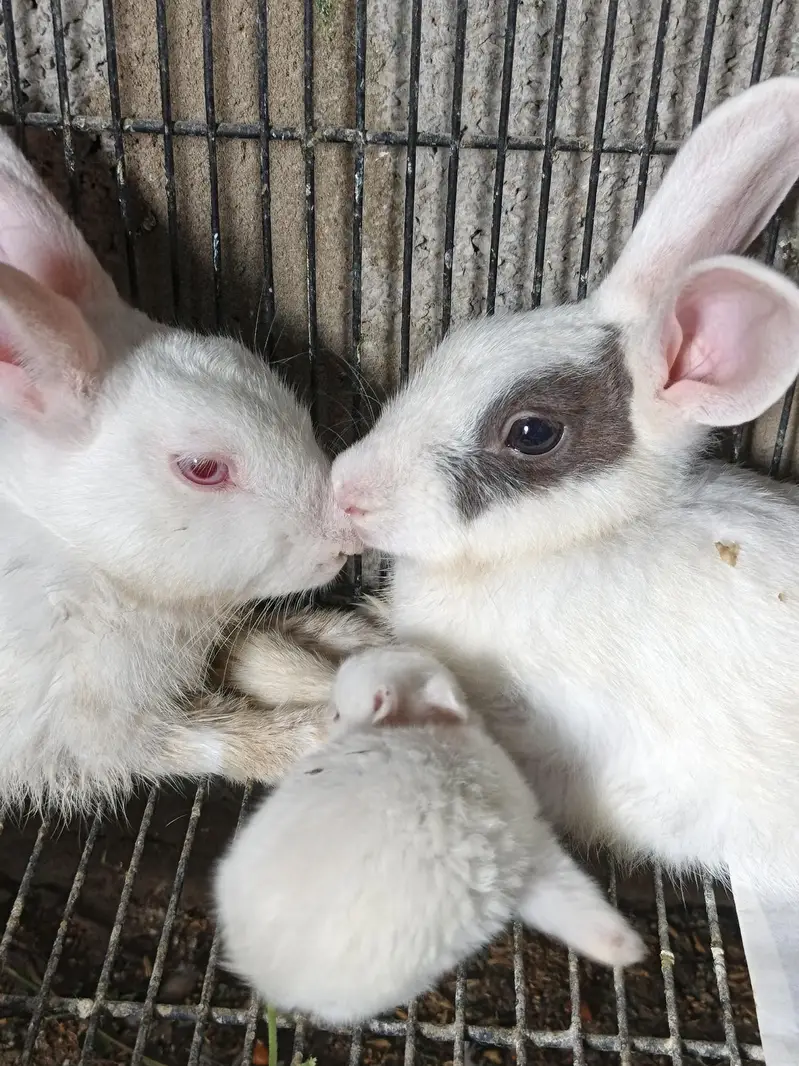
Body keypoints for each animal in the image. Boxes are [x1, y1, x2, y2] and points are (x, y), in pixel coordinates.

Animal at [0, 129, 361, 815]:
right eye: (202, 468)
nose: (342, 544)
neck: (81, 558)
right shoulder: (90, 725)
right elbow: (205, 738)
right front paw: (314, 731)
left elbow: (255, 649)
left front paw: (339, 635)